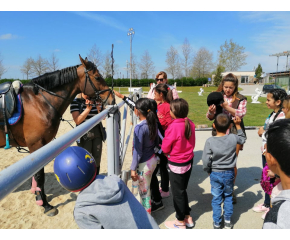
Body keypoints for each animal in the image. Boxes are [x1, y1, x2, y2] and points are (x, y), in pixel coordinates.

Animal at [0, 54, 115, 216]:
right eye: (98, 77)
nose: (112, 98)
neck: (39, 102)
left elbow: (36, 174)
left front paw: (37, 196)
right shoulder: (36, 145)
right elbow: (40, 176)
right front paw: (45, 205)